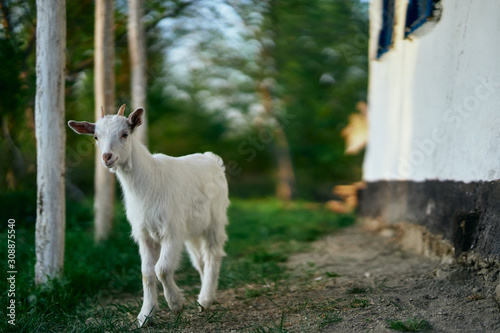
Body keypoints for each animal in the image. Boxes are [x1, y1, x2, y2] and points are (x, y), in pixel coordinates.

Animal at [68, 105, 229, 326]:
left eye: (125, 134)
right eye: (95, 137)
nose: (107, 157)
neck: (149, 181)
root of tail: (210, 157)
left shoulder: (172, 230)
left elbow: (162, 268)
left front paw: (176, 304)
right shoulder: (144, 233)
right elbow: (147, 272)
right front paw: (145, 314)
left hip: (215, 220)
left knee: (213, 254)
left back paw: (205, 299)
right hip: (192, 230)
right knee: (200, 259)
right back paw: (203, 296)